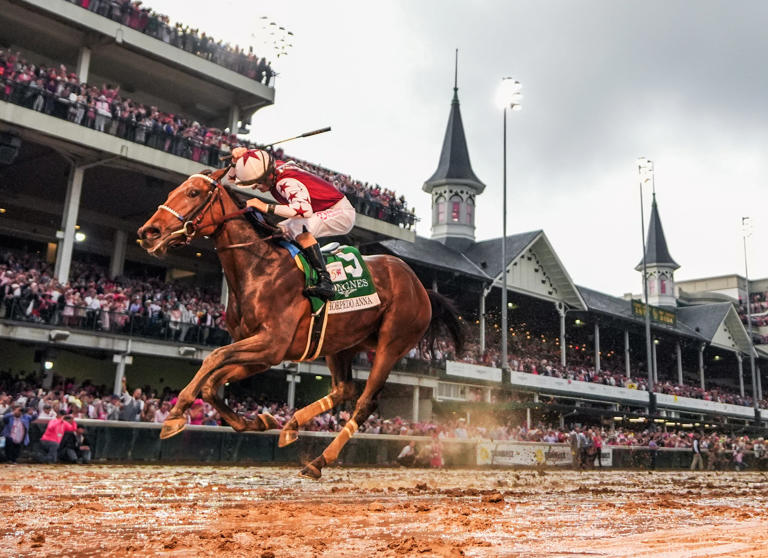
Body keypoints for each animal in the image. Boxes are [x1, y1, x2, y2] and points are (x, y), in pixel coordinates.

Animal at [138, 168, 462, 480]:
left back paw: (319, 461)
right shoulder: (264, 354)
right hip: (342, 344)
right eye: (173, 191)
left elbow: (213, 358)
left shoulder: (271, 344)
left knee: (365, 402)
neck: (259, 267)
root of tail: (421, 286)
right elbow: (211, 384)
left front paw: (176, 413)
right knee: (345, 390)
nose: (148, 232)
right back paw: (292, 425)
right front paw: (258, 419)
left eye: (193, 192)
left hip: (391, 345)